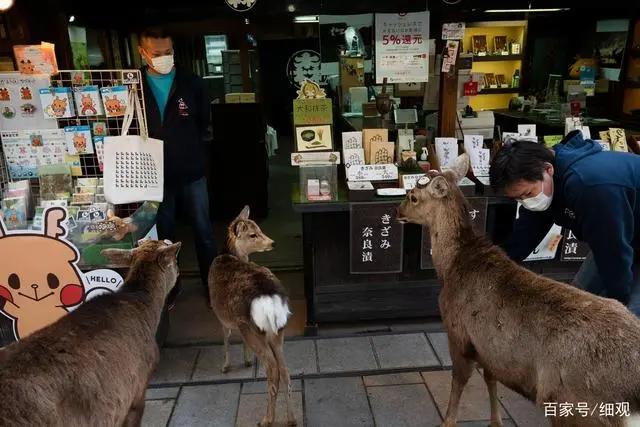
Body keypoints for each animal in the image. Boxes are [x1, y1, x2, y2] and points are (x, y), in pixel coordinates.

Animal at [209, 205, 296, 427]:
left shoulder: (221, 316)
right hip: (278, 330)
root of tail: (270, 300)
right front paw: (247, 361)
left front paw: (225, 366)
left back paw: (267, 419)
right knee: (285, 370)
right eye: (253, 234)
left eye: (258, 229)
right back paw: (291, 419)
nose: (272, 242)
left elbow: (226, 339)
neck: (229, 255)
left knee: (272, 369)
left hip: (254, 330)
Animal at [397, 154, 640, 427]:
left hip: (574, 405)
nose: (397, 211)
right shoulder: (490, 348)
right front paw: (496, 421)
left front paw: (447, 421)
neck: (451, 267)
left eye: (413, 196)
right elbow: (491, 379)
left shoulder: (458, 333)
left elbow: (458, 383)